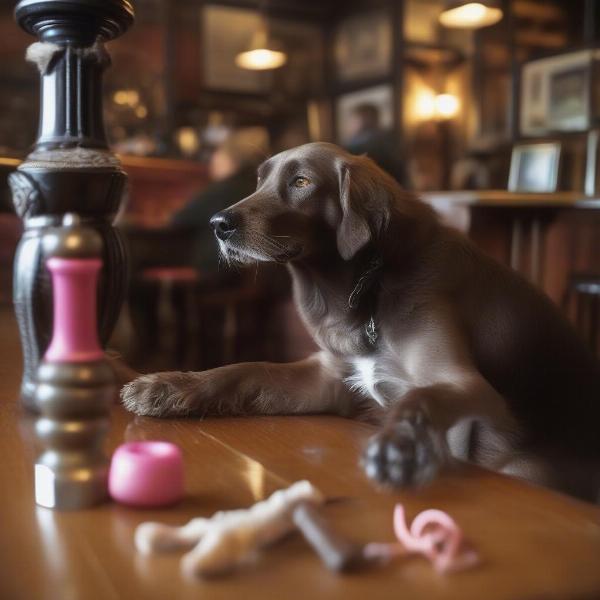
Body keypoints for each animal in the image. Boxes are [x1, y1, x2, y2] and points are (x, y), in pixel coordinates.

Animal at [120, 142, 600, 502]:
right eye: (259, 182)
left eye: (301, 182)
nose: (219, 223)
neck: (369, 288)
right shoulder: (327, 377)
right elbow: (241, 370)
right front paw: (166, 386)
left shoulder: (469, 387)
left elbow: (420, 399)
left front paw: (397, 447)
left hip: (530, 466)